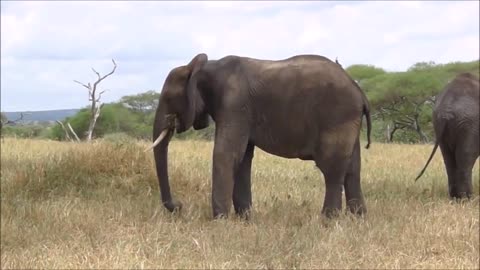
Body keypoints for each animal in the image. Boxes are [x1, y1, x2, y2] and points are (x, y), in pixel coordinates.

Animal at [145, 53, 372, 219]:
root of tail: (359, 91)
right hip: (348, 121)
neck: (205, 68)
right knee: (352, 169)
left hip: (337, 117)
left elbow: (225, 154)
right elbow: (243, 158)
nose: (179, 206)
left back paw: (328, 220)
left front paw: (219, 221)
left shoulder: (234, 104)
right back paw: (357, 218)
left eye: (169, 98)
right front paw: (245, 218)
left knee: (332, 169)